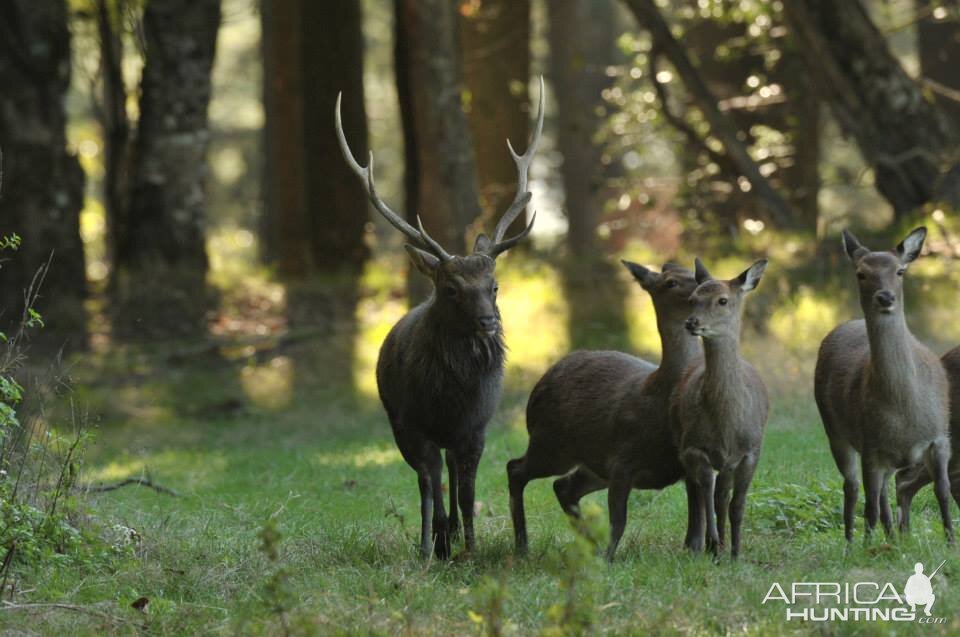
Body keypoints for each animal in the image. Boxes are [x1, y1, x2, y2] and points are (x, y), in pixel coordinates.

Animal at [334, 78, 544, 556]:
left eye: (494, 287)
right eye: (451, 289)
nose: (488, 323)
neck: (451, 398)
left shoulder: (476, 427)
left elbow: (466, 491)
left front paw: (470, 548)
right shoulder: (413, 424)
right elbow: (429, 487)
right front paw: (431, 548)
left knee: (449, 477)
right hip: (397, 421)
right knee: (427, 480)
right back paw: (438, 540)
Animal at [506, 258, 700, 556]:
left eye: (691, 270)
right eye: (671, 282)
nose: (704, 281)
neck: (660, 394)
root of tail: (535, 392)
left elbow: (696, 522)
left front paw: (698, 552)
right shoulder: (622, 458)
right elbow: (618, 521)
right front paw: (609, 558)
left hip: (591, 462)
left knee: (563, 486)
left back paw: (588, 545)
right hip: (551, 444)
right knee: (516, 469)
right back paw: (523, 546)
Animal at [672, 258, 768, 556]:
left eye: (723, 300)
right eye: (692, 299)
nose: (692, 322)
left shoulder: (750, 451)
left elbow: (736, 504)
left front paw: (736, 552)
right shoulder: (691, 447)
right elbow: (706, 493)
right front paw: (713, 543)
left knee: (722, 497)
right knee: (699, 492)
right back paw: (707, 543)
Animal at [816, 226, 952, 544]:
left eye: (900, 271)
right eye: (860, 273)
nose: (886, 297)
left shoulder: (940, 437)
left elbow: (943, 492)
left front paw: (952, 541)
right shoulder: (870, 444)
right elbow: (869, 508)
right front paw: (867, 547)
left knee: (882, 494)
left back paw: (892, 538)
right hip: (834, 430)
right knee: (853, 488)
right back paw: (851, 543)